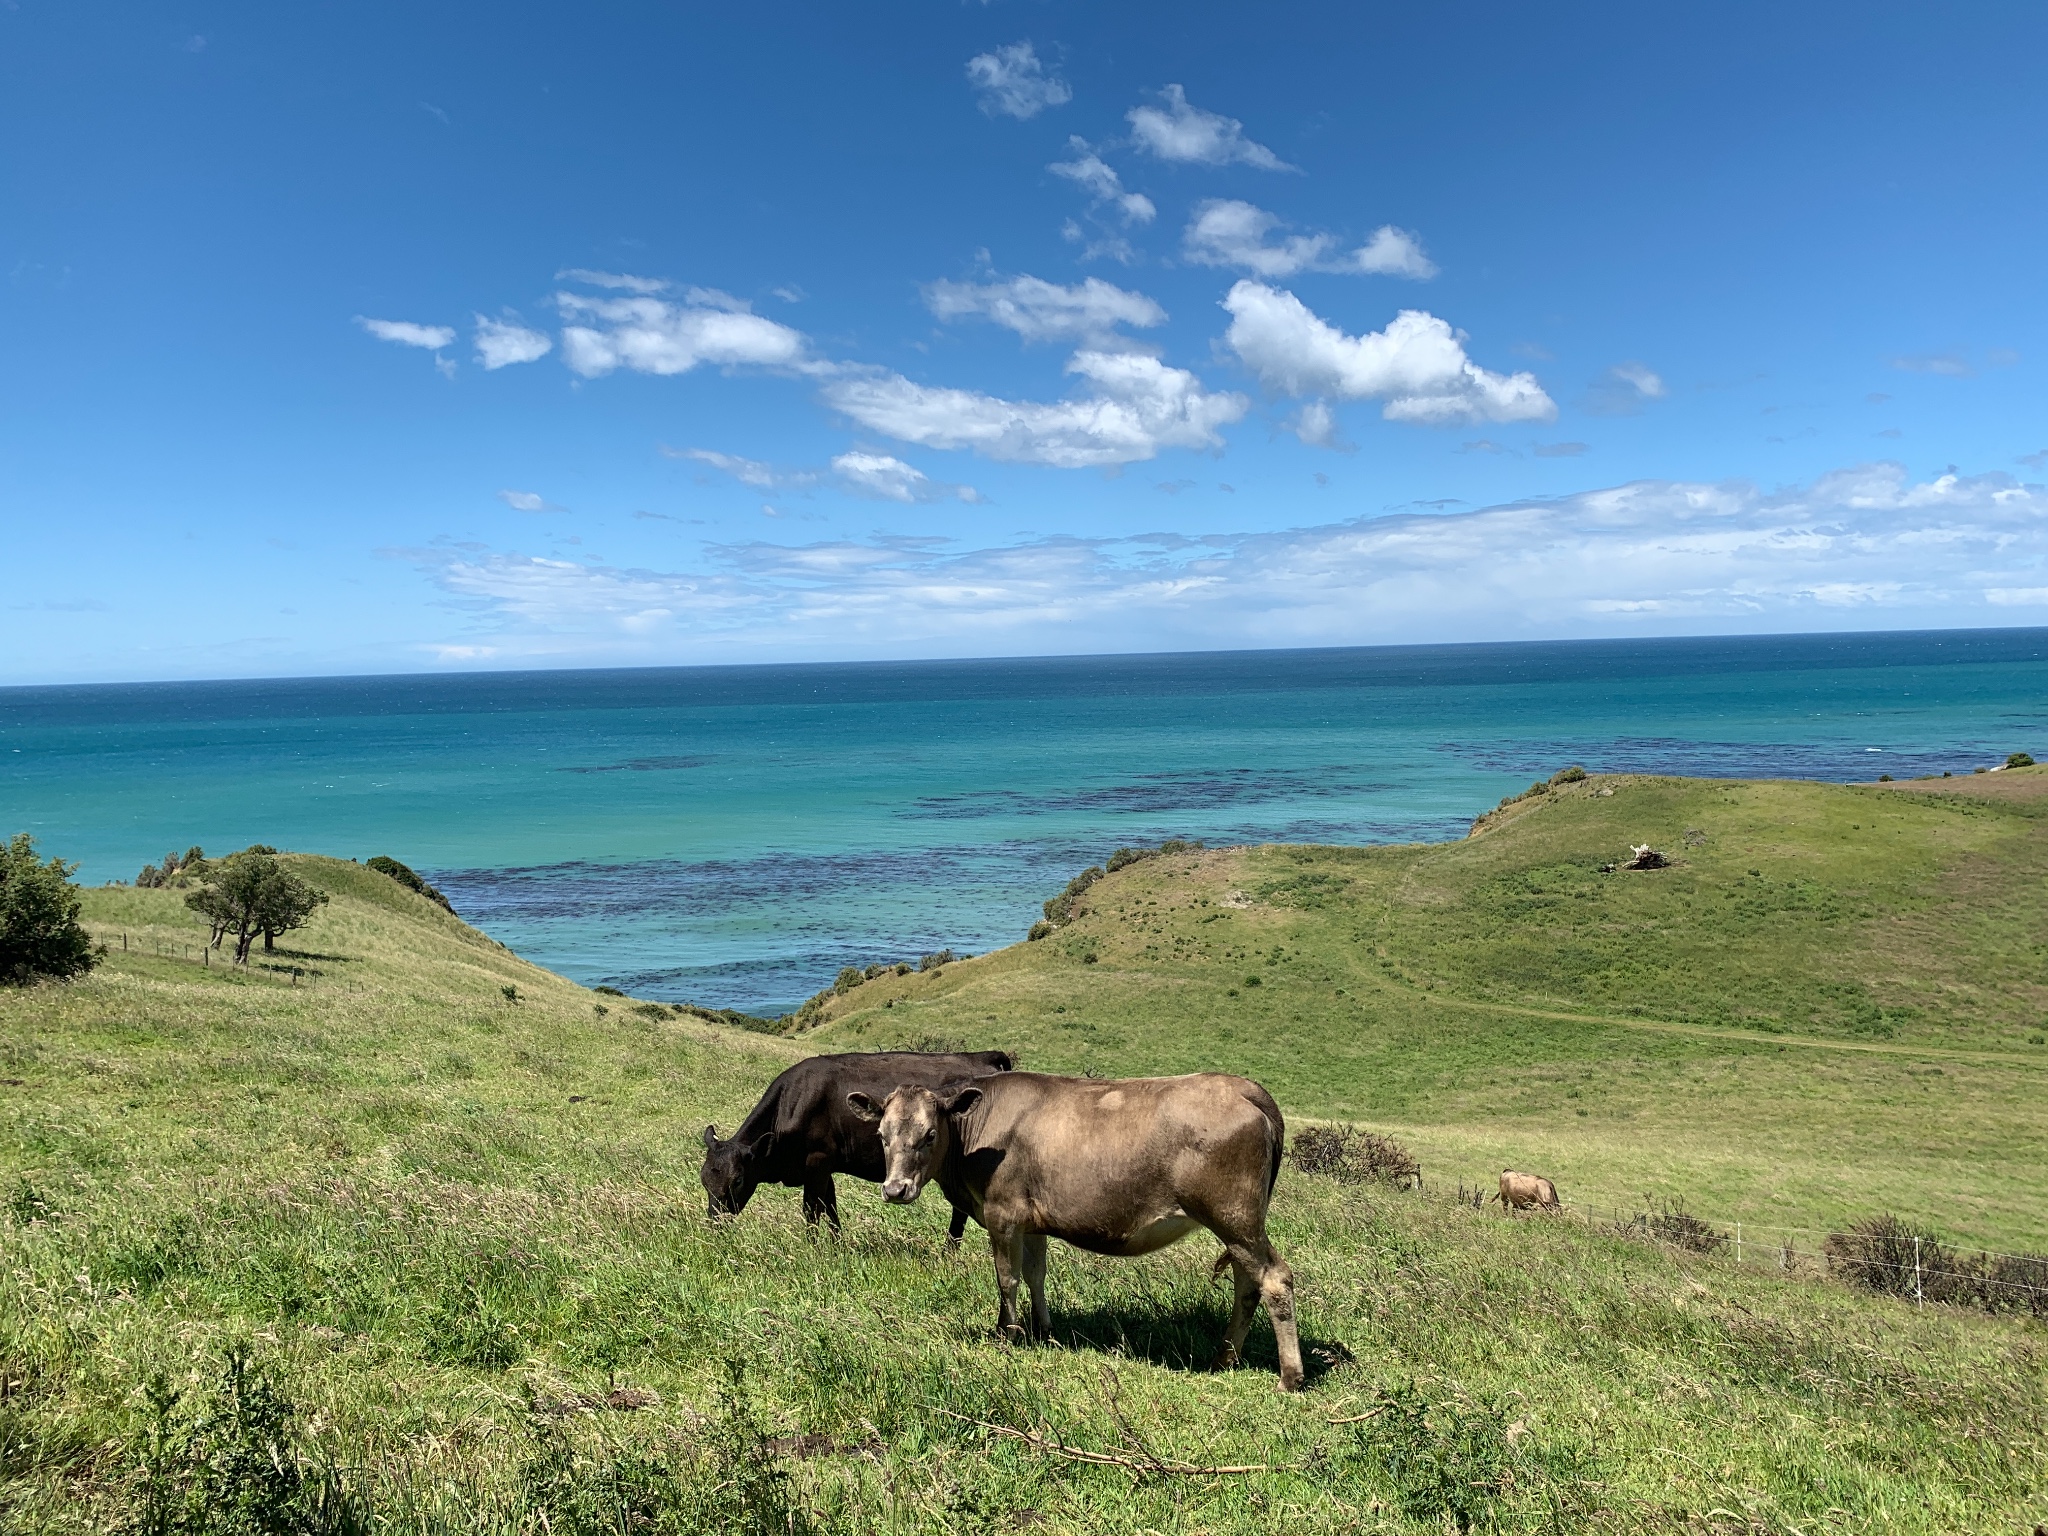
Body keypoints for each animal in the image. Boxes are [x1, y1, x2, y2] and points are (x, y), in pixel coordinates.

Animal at [700, 1056, 1011, 1245]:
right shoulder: (824, 1167)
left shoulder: (817, 1162)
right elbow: (830, 1206)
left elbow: (811, 1209)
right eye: (704, 1180)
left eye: (737, 1180)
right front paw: (837, 1244)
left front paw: (812, 1247)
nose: (715, 1226)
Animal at [851, 1073, 1302, 1392]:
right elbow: (1036, 1274)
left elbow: (1007, 1278)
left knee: (1275, 1279)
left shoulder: (1002, 1215)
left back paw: (1289, 1377)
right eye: (882, 1136)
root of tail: (1242, 1087)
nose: (895, 1189)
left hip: (1234, 1217)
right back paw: (1224, 1358)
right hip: (1240, 1226)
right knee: (1247, 1283)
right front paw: (1043, 1331)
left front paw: (1006, 1334)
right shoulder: (1032, 1221)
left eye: (929, 1134)